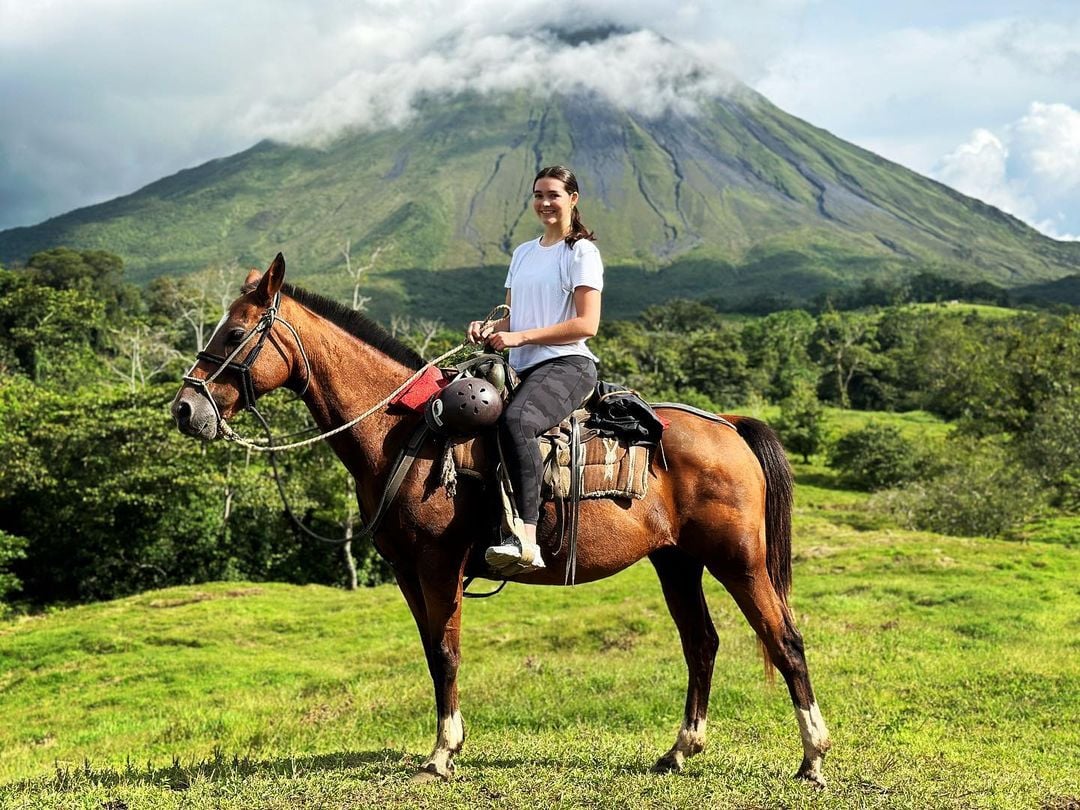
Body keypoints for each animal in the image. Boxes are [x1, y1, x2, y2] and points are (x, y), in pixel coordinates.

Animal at [168, 254, 829, 786]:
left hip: (739, 560)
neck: (404, 433)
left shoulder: (438, 562)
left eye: (234, 332)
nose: (184, 408)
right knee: (702, 643)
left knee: (786, 641)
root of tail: (729, 425)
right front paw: (445, 745)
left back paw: (813, 757)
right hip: (677, 561)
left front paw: (442, 754)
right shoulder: (408, 571)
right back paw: (680, 751)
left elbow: (448, 651)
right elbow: (432, 652)